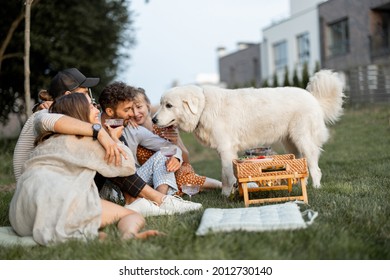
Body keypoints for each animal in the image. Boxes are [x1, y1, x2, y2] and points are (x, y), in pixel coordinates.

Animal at [152, 70, 344, 197]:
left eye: (168, 105)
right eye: (161, 104)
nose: (153, 119)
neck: (204, 107)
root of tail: (313, 98)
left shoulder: (226, 149)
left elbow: (227, 175)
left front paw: (226, 196)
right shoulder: (224, 150)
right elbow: (226, 175)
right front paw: (227, 193)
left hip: (302, 139)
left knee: (314, 167)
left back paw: (316, 187)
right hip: (290, 142)